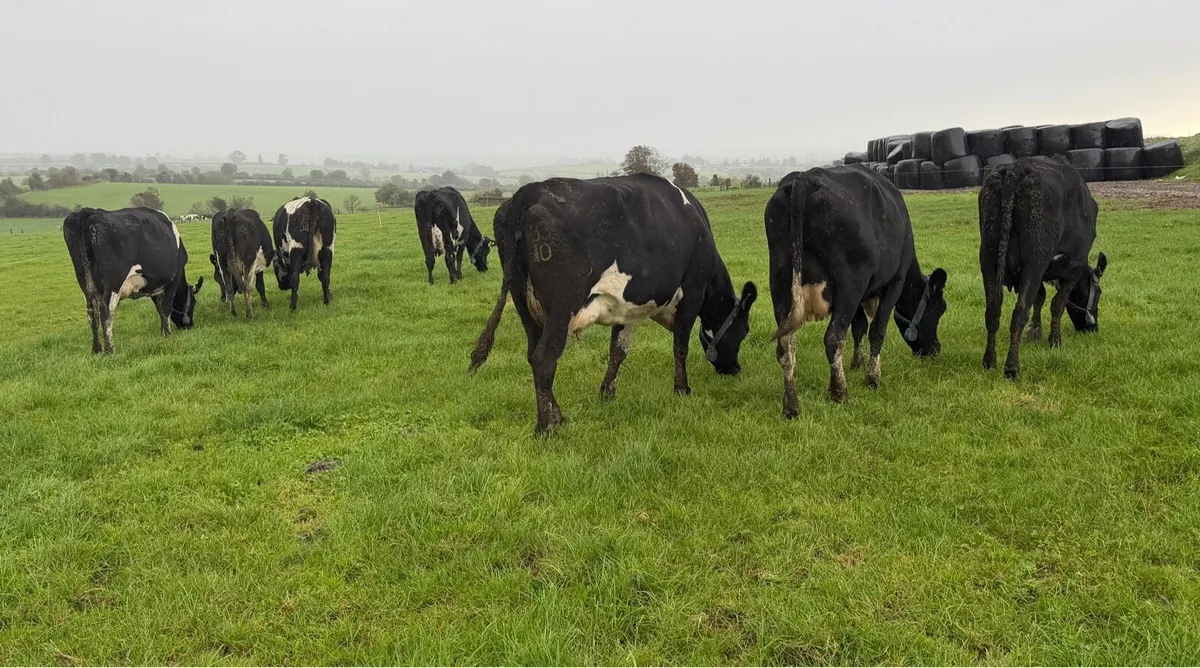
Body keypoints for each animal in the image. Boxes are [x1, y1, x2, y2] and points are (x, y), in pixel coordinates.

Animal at [62, 207, 203, 354]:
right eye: (194, 302)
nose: (190, 326)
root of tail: (87, 212)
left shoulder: (155, 286)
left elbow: (160, 308)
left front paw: (163, 333)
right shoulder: (173, 280)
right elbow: (166, 308)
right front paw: (168, 335)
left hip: (84, 283)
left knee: (92, 313)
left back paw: (96, 350)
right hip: (113, 281)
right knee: (106, 311)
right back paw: (110, 350)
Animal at [470, 174, 757, 435]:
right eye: (744, 331)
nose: (734, 369)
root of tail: (527, 193)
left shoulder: (626, 309)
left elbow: (618, 350)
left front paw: (607, 393)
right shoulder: (692, 292)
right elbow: (680, 346)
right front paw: (682, 389)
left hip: (523, 301)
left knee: (532, 352)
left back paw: (558, 416)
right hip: (562, 307)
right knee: (544, 358)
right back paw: (546, 427)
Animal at [765, 166, 948, 416]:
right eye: (939, 309)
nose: (935, 349)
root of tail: (804, 179)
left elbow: (859, 326)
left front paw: (856, 363)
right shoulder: (894, 282)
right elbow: (877, 330)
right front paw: (872, 377)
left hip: (780, 284)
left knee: (785, 345)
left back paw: (791, 405)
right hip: (849, 284)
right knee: (833, 338)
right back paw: (839, 392)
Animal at [979, 156, 1107, 379]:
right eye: (1098, 293)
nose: (1092, 328)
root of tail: (1015, 169)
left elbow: (1039, 298)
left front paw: (1034, 333)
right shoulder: (1073, 267)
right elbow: (1057, 304)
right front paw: (1054, 340)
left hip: (987, 257)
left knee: (993, 310)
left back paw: (989, 361)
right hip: (1035, 258)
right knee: (1019, 312)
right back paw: (1011, 367)